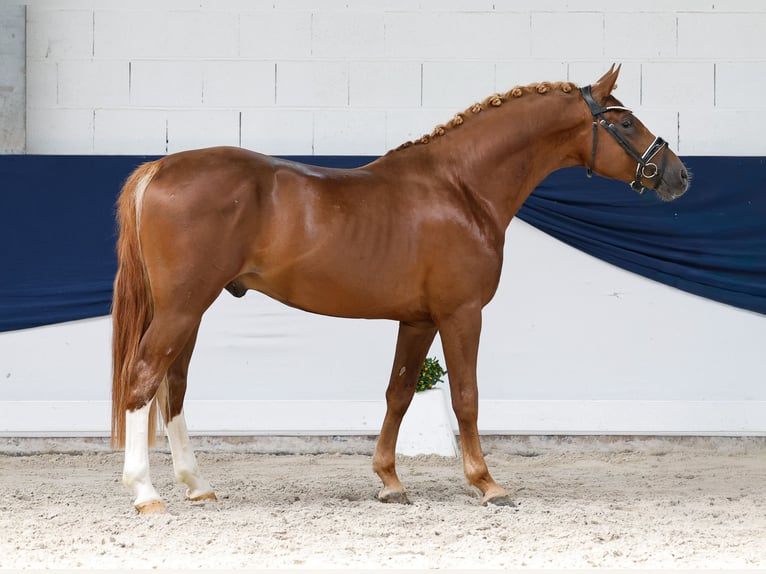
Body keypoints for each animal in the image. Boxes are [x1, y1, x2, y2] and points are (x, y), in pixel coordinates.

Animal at [111, 65, 689, 513]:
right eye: (625, 121)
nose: (679, 175)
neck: (461, 187)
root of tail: (159, 168)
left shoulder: (418, 319)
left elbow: (400, 392)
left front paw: (390, 482)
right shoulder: (462, 314)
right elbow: (466, 397)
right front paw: (487, 484)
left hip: (189, 311)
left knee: (174, 388)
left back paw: (198, 487)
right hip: (183, 308)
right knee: (143, 379)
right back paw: (145, 493)